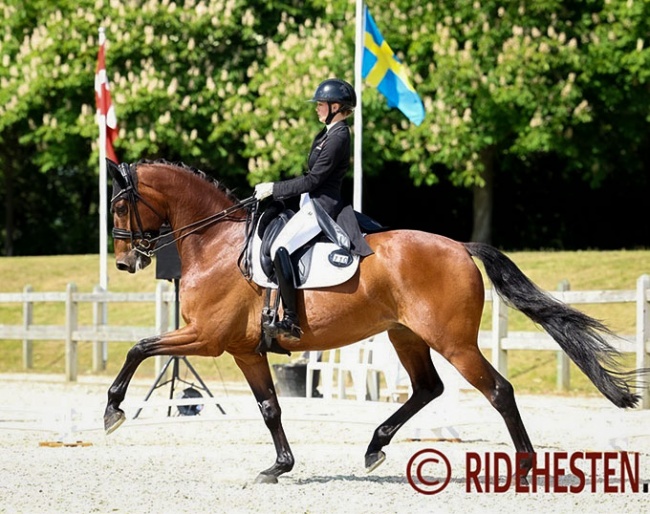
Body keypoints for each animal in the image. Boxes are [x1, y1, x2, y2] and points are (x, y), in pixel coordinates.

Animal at [104, 158, 640, 482]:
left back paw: (525, 467)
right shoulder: (243, 350)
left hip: (453, 341)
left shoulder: (206, 337)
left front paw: (113, 410)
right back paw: (374, 446)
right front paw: (279, 466)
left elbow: (139, 347)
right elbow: (270, 408)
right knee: (428, 388)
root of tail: (459, 246)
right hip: (406, 335)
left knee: (497, 390)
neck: (216, 245)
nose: (125, 263)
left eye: (120, 204)